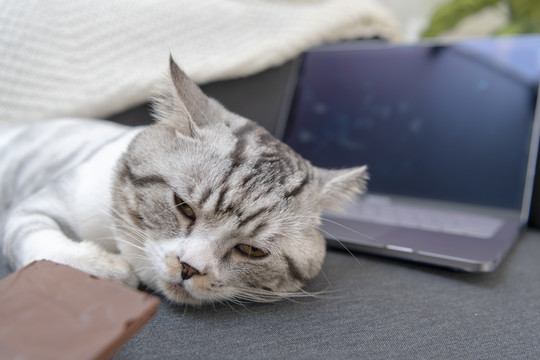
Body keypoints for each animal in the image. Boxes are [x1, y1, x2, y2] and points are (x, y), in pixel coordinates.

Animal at [0, 57, 368, 306]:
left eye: (252, 250)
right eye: (183, 207)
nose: (189, 268)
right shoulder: (34, 207)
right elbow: (40, 244)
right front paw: (108, 270)